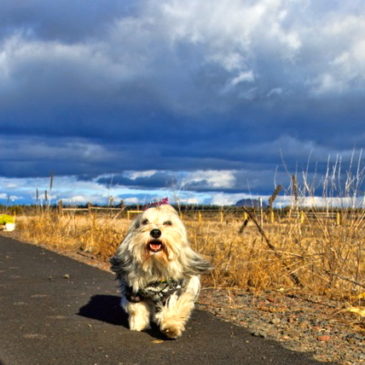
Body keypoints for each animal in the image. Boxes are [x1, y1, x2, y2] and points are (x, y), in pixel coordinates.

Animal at [109, 203, 210, 336]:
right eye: (145, 222)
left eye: (168, 223)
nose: (155, 232)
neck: (155, 265)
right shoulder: (133, 291)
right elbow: (137, 308)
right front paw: (138, 324)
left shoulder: (174, 290)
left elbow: (173, 307)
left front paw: (171, 326)